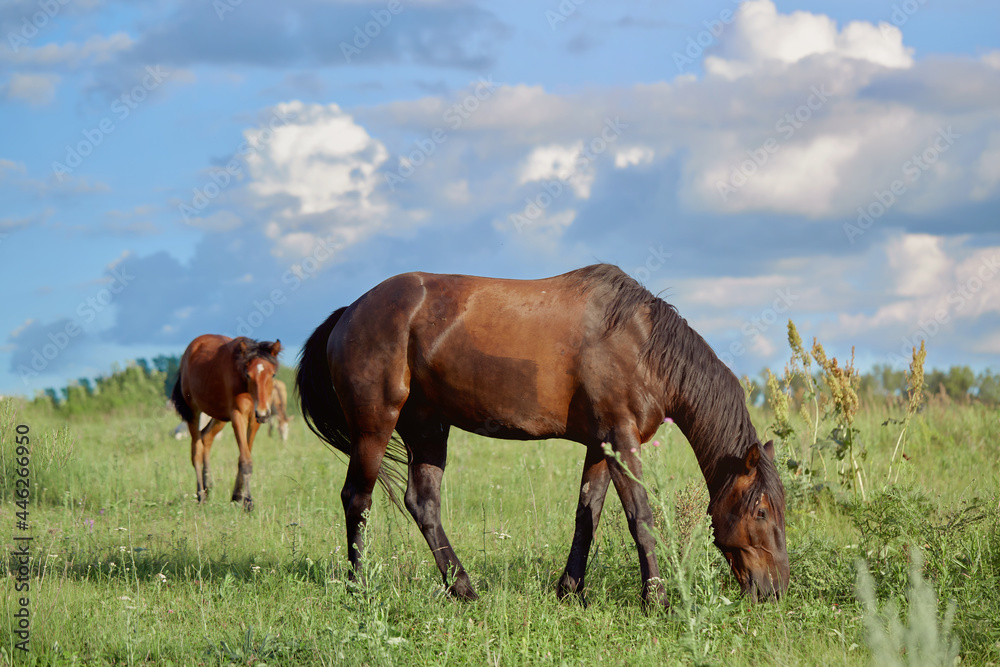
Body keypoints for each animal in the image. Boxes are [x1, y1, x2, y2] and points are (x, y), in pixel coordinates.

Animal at [171, 334, 282, 512]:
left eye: (272, 374)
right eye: (248, 375)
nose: (263, 413)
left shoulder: (254, 420)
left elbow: (245, 455)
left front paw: (236, 496)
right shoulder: (238, 417)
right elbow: (245, 460)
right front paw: (248, 502)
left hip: (219, 417)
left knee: (206, 438)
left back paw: (208, 488)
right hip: (193, 413)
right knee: (196, 450)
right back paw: (201, 495)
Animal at [296, 266, 788, 604]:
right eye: (761, 511)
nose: (777, 590)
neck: (641, 346)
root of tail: (349, 313)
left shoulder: (600, 444)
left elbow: (587, 515)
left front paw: (570, 590)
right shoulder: (621, 439)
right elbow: (640, 517)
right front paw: (656, 598)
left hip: (428, 429)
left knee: (423, 504)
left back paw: (464, 588)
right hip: (374, 425)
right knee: (357, 499)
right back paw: (359, 588)